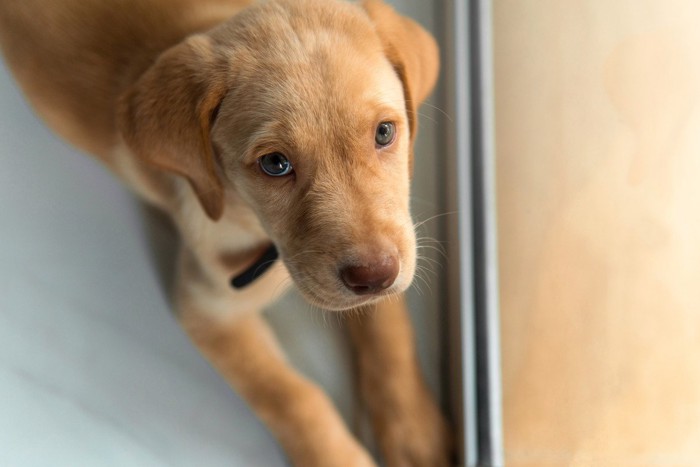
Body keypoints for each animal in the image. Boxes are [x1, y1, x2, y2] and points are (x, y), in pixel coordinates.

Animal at [0, 1, 448, 466]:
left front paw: (413, 432)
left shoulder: (394, 240)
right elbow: (290, 396)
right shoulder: (208, 309)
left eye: (384, 132)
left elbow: (389, 331)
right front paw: (339, 457)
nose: (373, 276)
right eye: (274, 164)